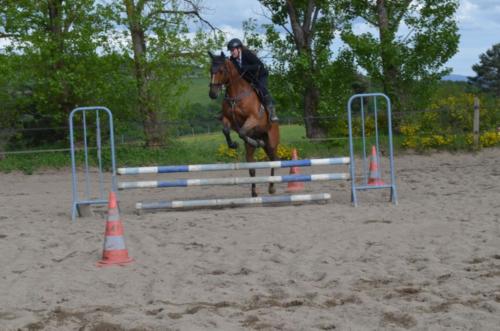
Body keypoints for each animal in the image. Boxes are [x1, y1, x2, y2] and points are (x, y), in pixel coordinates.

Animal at [206, 51, 278, 197]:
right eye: (211, 70)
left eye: (221, 71)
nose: (212, 94)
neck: (236, 94)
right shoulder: (227, 119)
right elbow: (226, 131)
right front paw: (234, 144)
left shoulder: (253, 119)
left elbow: (242, 132)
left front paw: (250, 141)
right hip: (254, 149)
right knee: (252, 167)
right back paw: (254, 192)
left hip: (272, 142)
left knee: (274, 160)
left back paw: (272, 187)